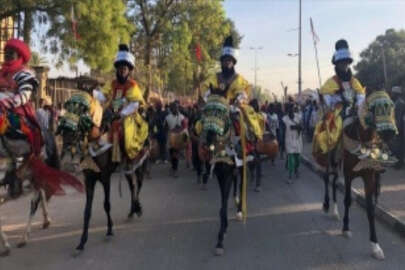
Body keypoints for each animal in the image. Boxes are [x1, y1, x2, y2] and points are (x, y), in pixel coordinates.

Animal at [57, 96, 149, 253]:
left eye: (75, 130)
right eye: (63, 130)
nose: (67, 148)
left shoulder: (105, 177)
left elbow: (106, 204)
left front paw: (109, 230)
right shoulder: (89, 179)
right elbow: (87, 211)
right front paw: (82, 242)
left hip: (137, 160)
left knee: (139, 182)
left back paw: (137, 207)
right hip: (126, 166)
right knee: (132, 185)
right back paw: (132, 211)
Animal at [314, 90, 396, 260]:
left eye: (392, 105)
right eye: (373, 108)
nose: (389, 132)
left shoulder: (369, 176)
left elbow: (370, 209)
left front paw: (375, 246)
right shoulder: (348, 174)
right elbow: (347, 200)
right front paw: (346, 228)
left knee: (333, 182)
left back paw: (335, 212)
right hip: (331, 160)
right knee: (326, 178)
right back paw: (326, 205)